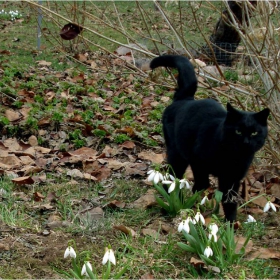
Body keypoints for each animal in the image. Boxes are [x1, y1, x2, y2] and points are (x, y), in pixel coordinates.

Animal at [151, 54, 270, 221]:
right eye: (238, 132)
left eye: (254, 133)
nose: (246, 142)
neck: (234, 157)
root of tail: (185, 99)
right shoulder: (198, 160)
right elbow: (202, 182)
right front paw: (192, 202)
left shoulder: (232, 178)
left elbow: (229, 201)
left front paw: (230, 223)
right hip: (177, 154)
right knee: (172, 178)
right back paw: (174, 200)